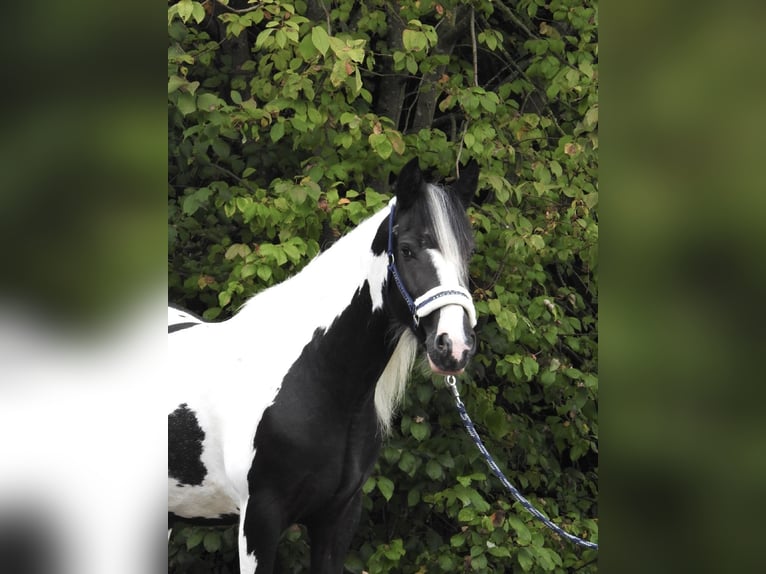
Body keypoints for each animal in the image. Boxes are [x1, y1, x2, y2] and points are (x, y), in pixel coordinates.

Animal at [168, 159, 480, 574]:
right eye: (408, 250)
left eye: (467, 254)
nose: (453, 346)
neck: (316, 384)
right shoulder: (259, 521)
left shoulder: (338, 517)